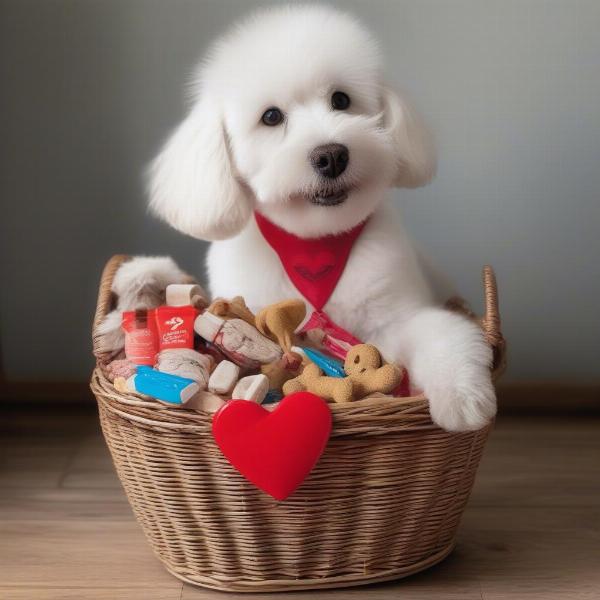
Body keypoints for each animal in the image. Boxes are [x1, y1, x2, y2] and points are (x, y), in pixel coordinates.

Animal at [144, 2, 492, 428]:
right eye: (271, 117)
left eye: (341, 100)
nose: (332, 156)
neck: (315, 244)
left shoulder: (394, 321)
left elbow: (441, 333)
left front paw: (463, 397)